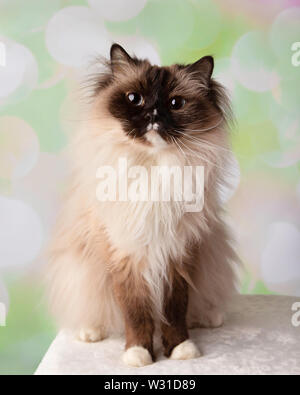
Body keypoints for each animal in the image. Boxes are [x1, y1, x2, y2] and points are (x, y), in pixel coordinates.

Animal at [47, 43, 239, 368]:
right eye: (134, 99)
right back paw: (90, 332)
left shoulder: (178, 254)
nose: (153, 114)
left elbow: (175, 311)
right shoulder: (126, 257)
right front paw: (139, 355)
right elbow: (136, 314)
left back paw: (207, 318)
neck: (153, 166)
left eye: (175, 103)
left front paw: (181, 350)